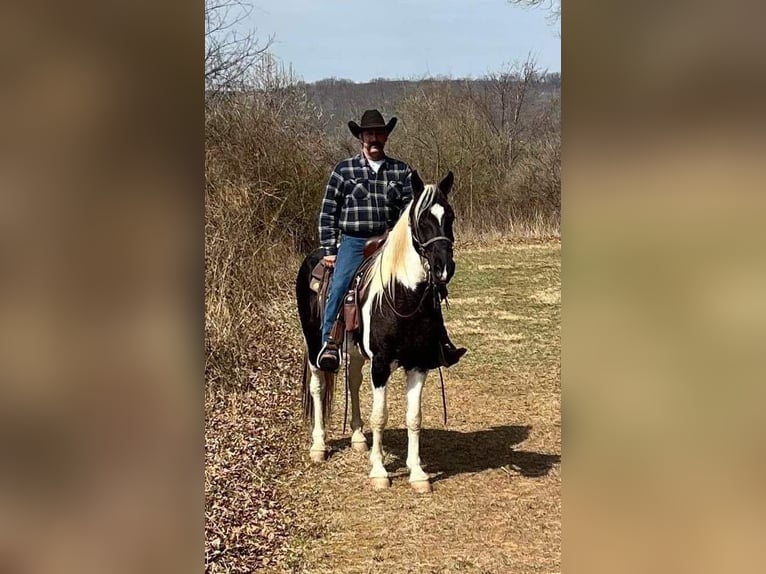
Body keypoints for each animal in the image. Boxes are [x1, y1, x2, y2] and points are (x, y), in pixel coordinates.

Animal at [296, 171, 460, 496]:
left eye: (449, 216)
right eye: (421, 219)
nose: (443, 268)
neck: (401, 295)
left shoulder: (418, 364)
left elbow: (414, 417)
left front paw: (418, 473)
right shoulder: (382, 365)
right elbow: (380, 416)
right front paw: (379, 471)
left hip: (357, 351)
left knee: (354, 382)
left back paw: (359, 439)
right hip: (313, 346)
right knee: (318, 387)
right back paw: (318, 445)